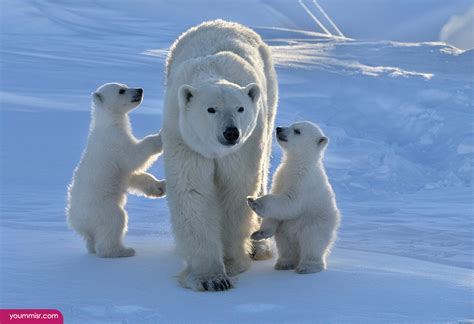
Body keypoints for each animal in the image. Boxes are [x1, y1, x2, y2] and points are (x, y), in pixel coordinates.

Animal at [67, 83, 165, 258]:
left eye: (125, 85)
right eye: (121, 90)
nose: (140, 90)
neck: (108, 123)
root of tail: (75, 220)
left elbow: (133, 176)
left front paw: (160, 187)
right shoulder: (115, 143)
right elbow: (133, 156)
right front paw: (160, 136)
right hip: (100, 207)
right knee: (115, 220)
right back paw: (122, 250)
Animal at [162, 19, 278, 292]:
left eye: (240, 108)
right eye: (211, 109)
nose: (231, 132)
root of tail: (225, 22)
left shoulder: (243, 148)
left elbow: (235, 191)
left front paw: (232, 263)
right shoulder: (185, 140)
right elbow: (193, 192)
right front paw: (210, 278)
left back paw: (259, 248)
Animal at [248, 121, 340, 274]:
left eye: (297, 131)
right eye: (292, 125)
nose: (279, 129)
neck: (299, 163)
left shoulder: (303, 182)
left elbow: (290, 202)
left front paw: (254, 201)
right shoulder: (280, 177)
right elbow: (276, 210)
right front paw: (259, 233)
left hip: (316, 224)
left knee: (312, 243)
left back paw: (307, 267)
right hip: (286, 229)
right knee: (285, 244)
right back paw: (284, 263)